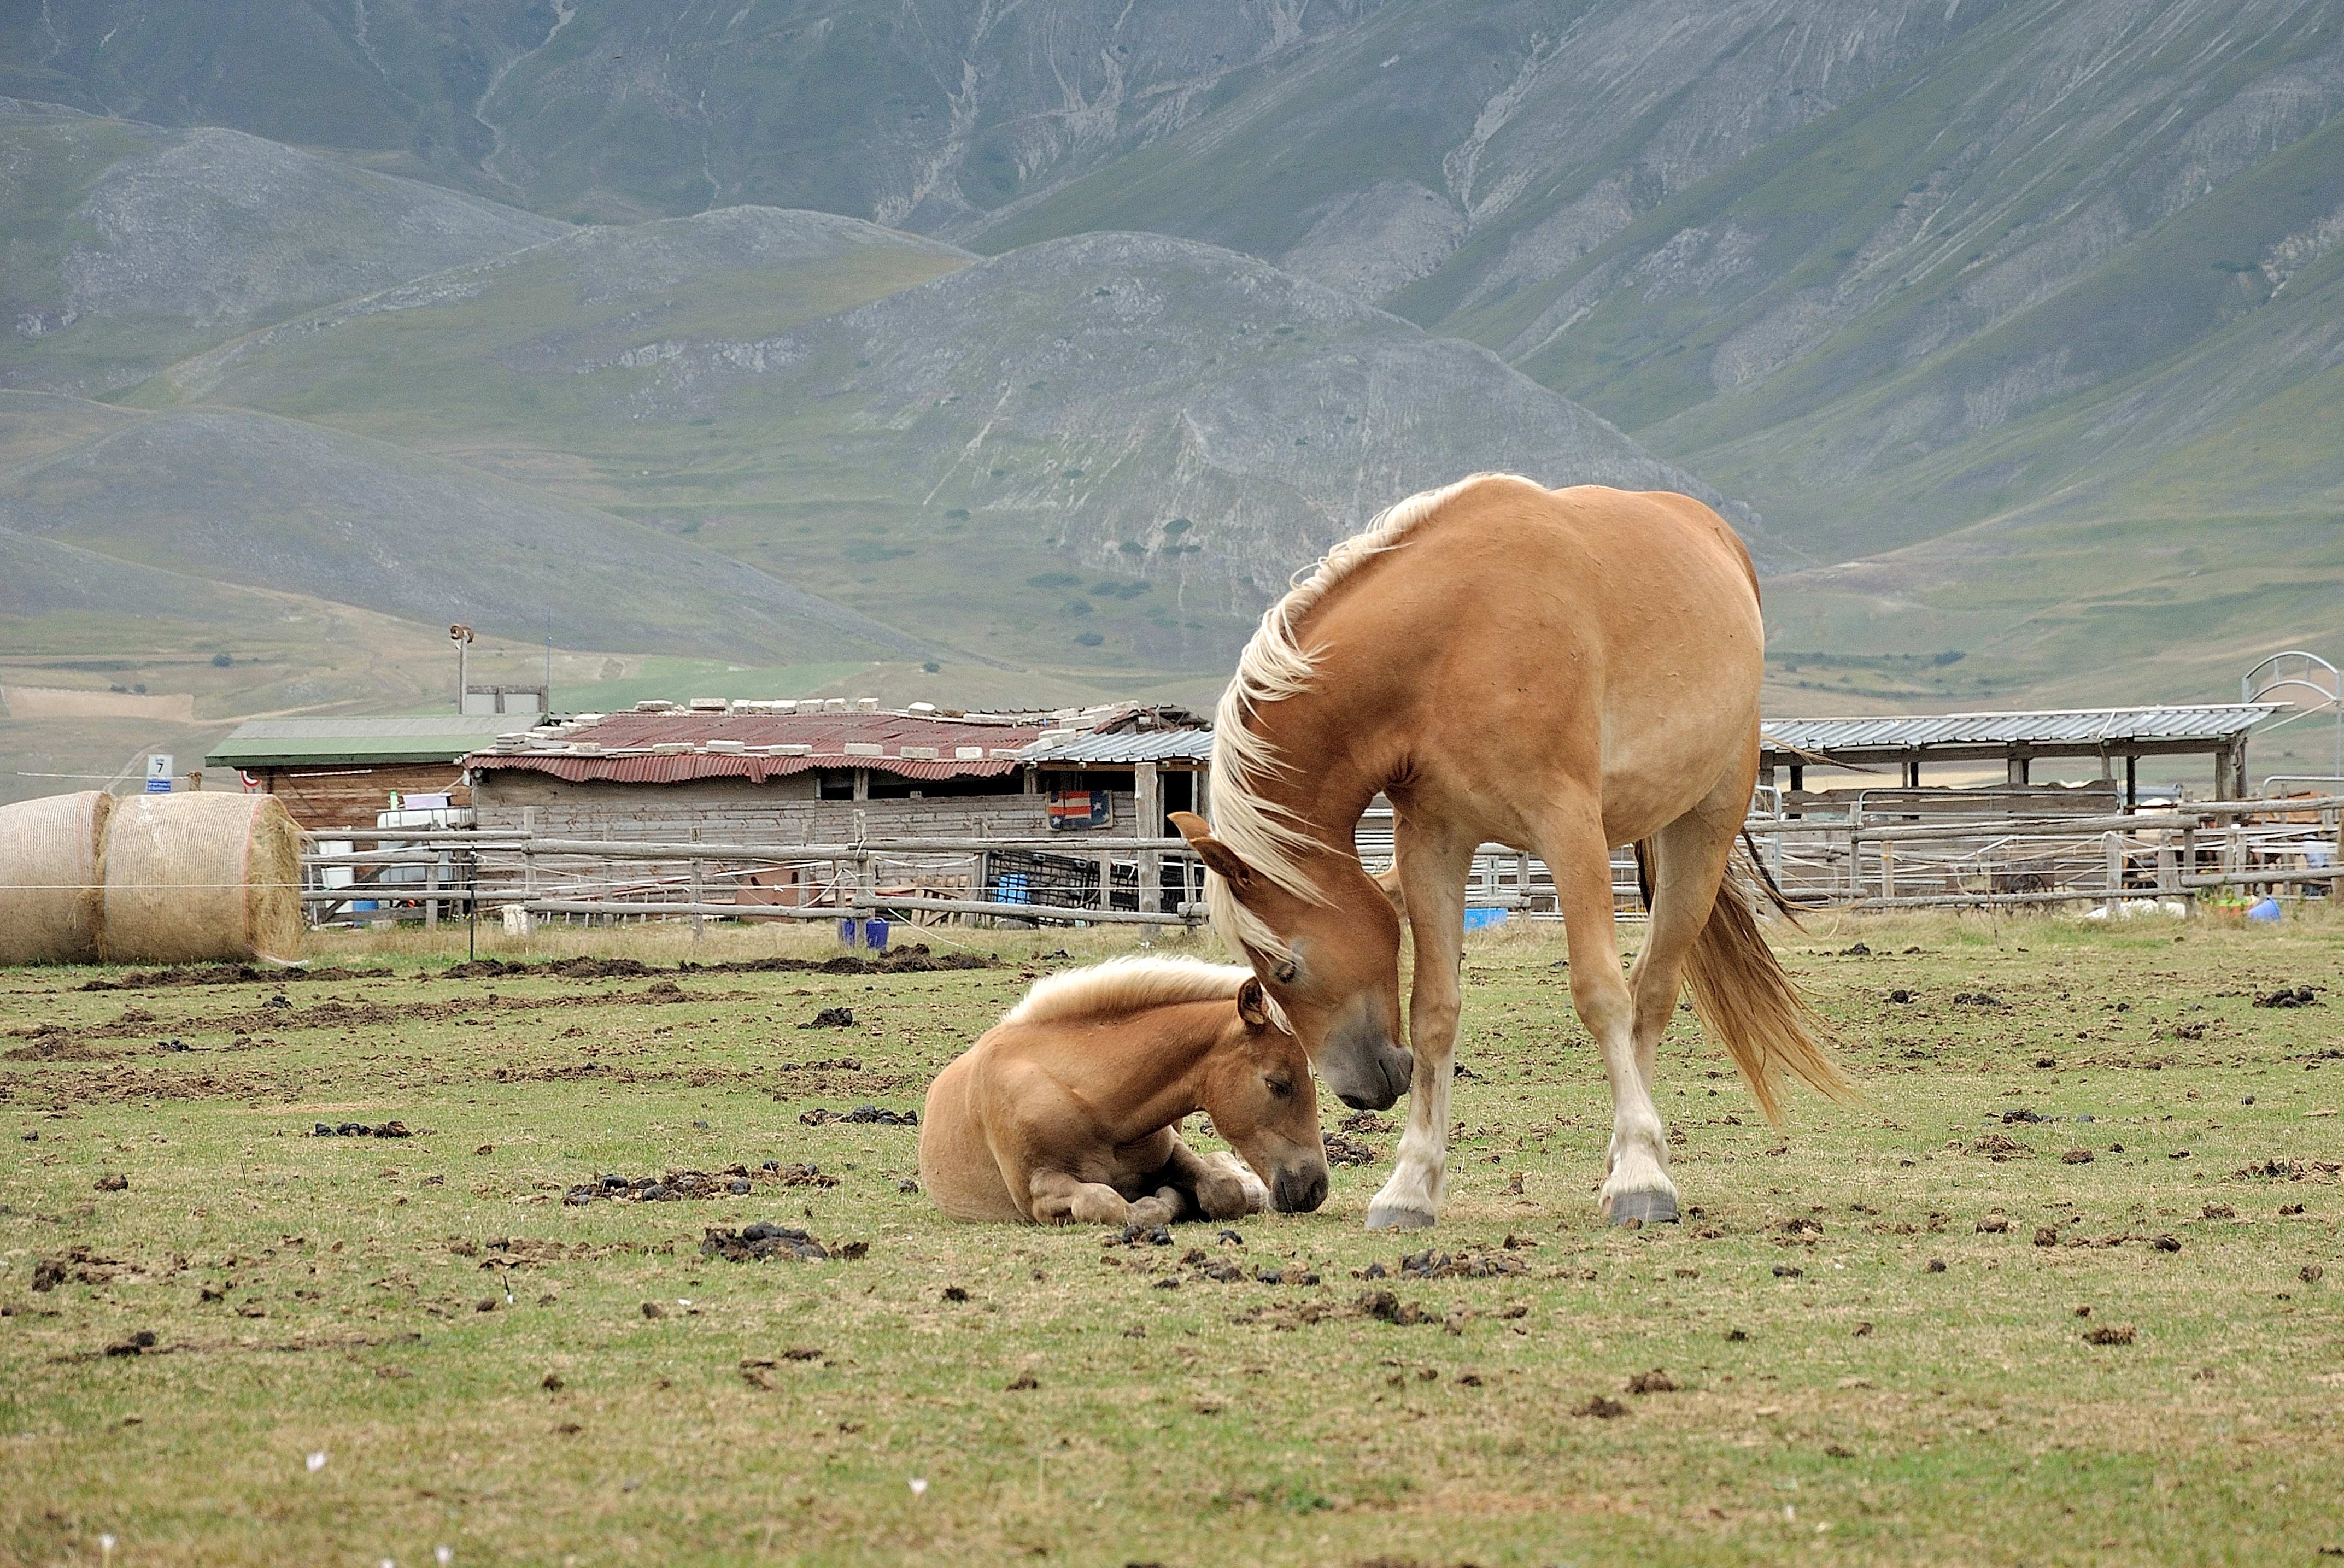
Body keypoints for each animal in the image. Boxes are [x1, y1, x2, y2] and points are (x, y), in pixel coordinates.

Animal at [914, 956, 1331, 1219]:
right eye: (1278, 1083)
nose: (1316, 1187)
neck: (1094, 1108)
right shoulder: (1035, 1191)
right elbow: (1107, 1204)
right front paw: (1163, 1201)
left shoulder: (1172, 1148)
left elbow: (1222, 1190)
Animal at [1172, 471, 1847, 1228]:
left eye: (1286, 968)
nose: (1360, 1093)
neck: (1450, 641)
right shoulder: (1432, 842)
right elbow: (1433, 1013)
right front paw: (1409, 1186)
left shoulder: (1569, 828)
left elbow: (1600, 993)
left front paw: (1641, 1179)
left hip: (1701, 827)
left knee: (1650, 992)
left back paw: (1635, 1159)